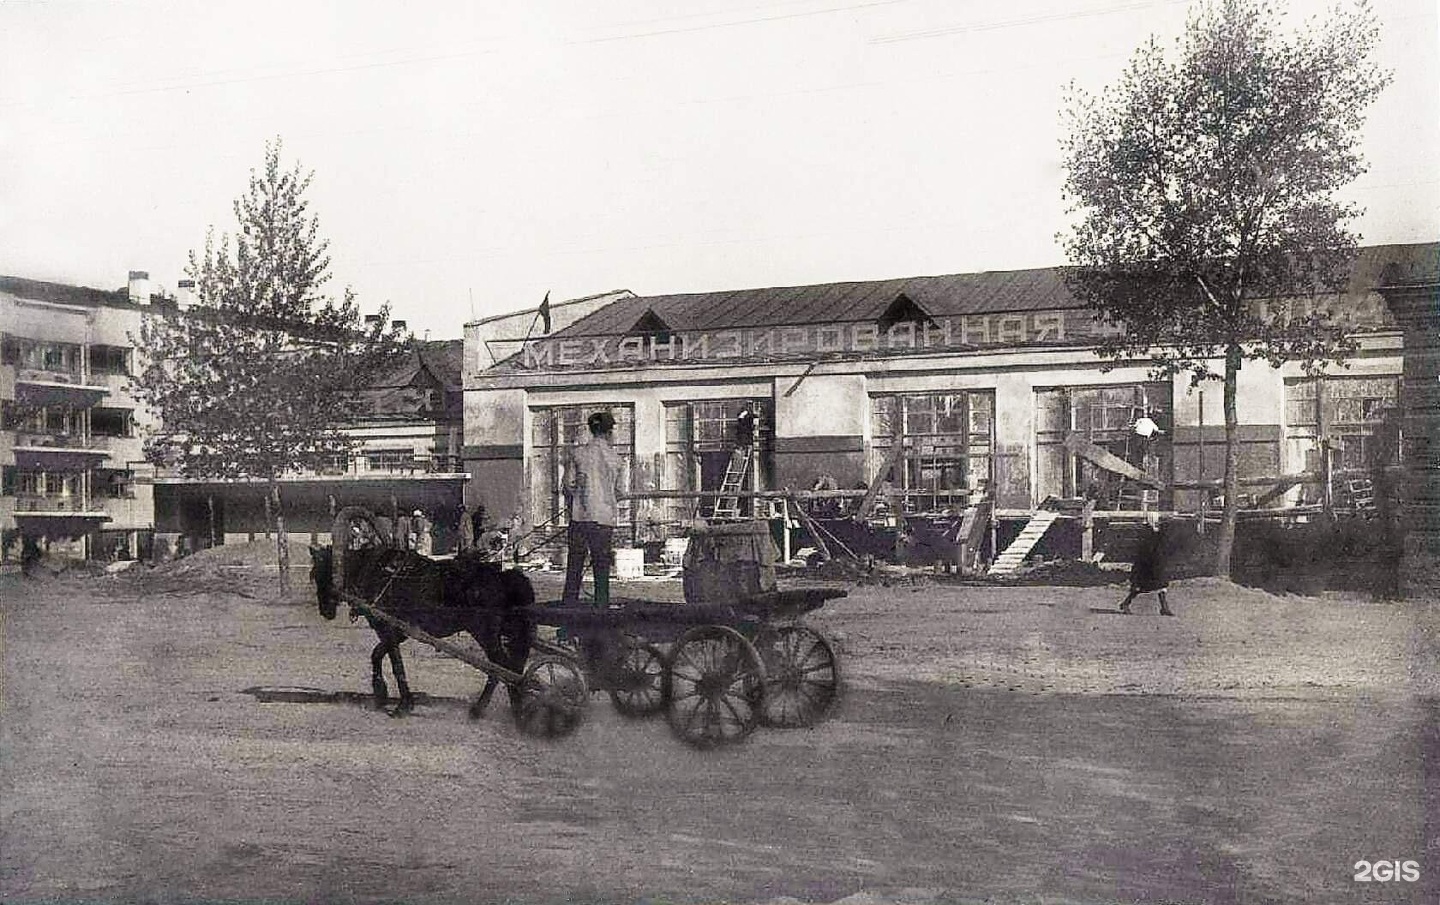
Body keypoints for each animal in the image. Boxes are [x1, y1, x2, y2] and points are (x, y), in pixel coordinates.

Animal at [312, 541, 538, 717]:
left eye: (315, 573)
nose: (325, 611)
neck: (374, 570)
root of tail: (502, 575)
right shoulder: (400, 632)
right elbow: (377, 654)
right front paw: (380, 693)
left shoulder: (387, 628)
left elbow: (395, 664)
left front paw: (403, 705)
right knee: (510, 667)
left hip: (485, 632)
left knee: (501, 666)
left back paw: (492, 710)